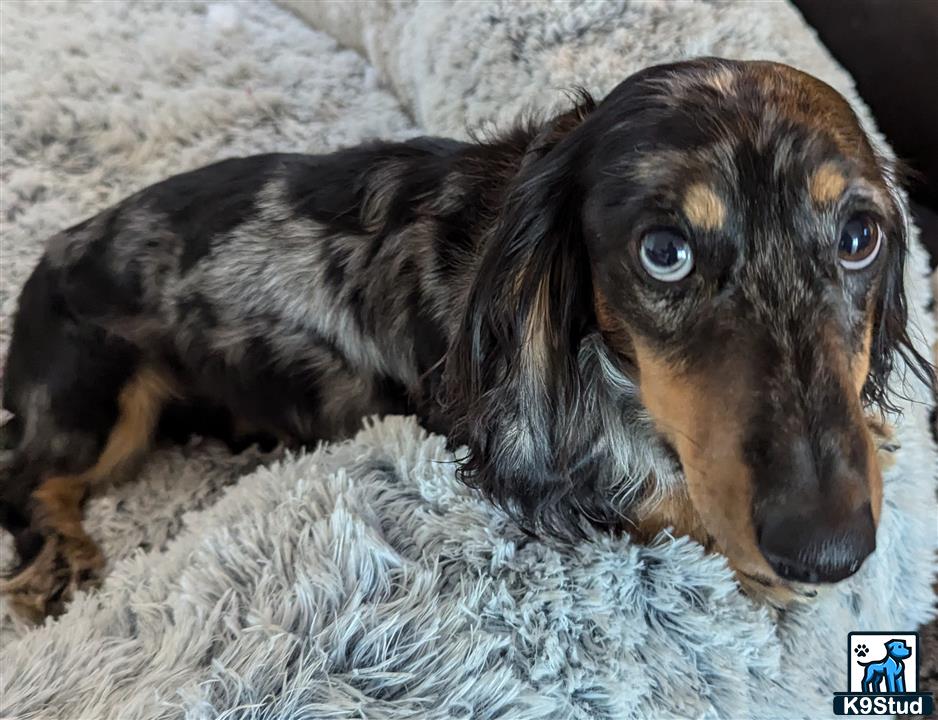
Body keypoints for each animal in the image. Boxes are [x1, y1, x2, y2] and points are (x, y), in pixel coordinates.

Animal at [0, 57, 928, 620]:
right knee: (27, 476)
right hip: (99, 403)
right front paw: (746, 561)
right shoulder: (507, 460)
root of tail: (53, 251)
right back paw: (60, 565)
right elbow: (652, 500)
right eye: (664, 252)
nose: (827, 548)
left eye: (860, 238)